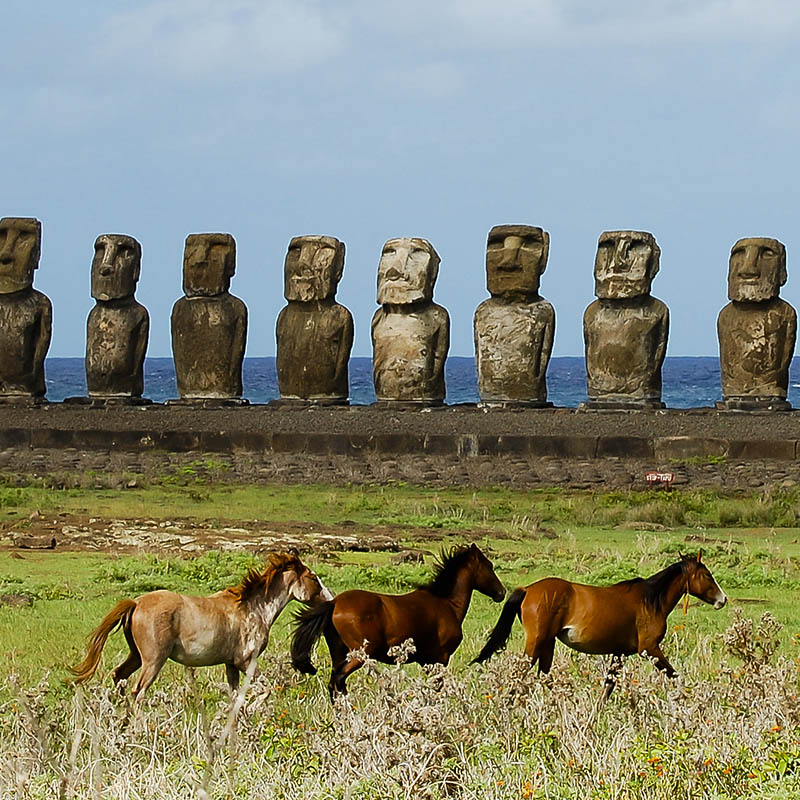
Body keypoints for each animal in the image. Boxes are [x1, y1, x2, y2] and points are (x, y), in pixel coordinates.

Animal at [69, 552, 332, 700]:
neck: (254, 608)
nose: (330, 600)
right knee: (138, 692)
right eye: (312, 577)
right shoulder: (246, 661)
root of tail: (136, 602)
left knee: (119, 677)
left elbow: (235, 696)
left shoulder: (231, 664)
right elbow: (264, 690)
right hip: (153, 660)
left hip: (136, 656)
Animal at [292, 544, 506, 700]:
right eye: (489, 566)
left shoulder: (426, 661)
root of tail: (334, 603)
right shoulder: (441, 658)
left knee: (335, 683)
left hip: (339, 651)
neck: (447, 604)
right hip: (359, 654)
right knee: (338, 679)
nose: (501, 593)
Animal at [472, 552, 728, 696]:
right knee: (520, 674)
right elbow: (675, 676)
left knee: (544, 677)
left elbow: (608, 687)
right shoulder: (649, 649)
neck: (651, 600)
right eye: (707, 575)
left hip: (547, 644)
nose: (722, 599)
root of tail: (528, 589)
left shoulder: (619, 653)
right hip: (537, 643)